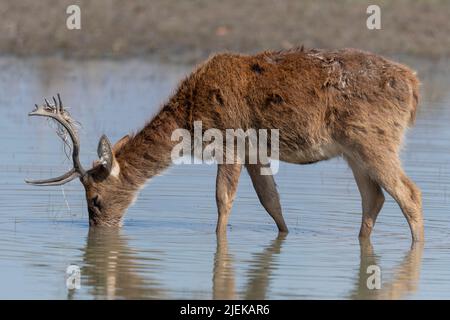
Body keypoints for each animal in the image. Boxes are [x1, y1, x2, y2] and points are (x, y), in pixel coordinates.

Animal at [26, 47, 424, 242]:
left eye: (94, 197)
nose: (99, 231)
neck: (191, 116)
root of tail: (414, 84)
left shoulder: (232, 141)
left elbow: (222, 199)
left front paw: (217, 241)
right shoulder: (255, 152)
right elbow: (270, 201)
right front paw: (284, 237)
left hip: (374, 140)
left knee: (410, 193)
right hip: (355, 151)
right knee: (375, 197)